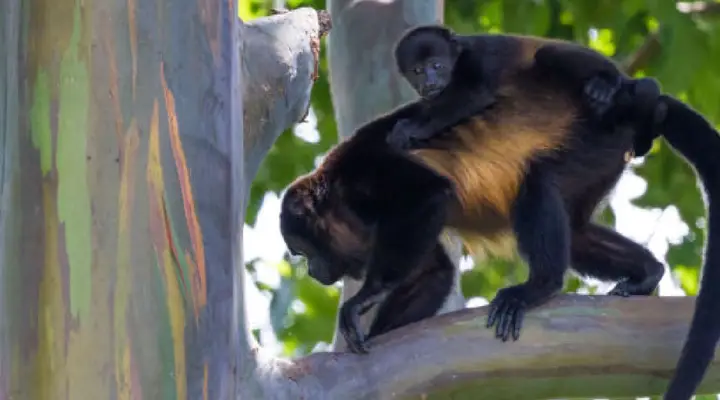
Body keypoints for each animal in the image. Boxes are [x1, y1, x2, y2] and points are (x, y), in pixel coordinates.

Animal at [279, 26, 670, 356]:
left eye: (303, 250)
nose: (312, 271)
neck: (338, 194)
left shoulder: (369, 170)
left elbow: (429, 193)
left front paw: (362, 300)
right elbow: (433, 273)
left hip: (592, 140)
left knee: (540, 181)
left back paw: (540, 285)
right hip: (604, 157)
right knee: (575, 230)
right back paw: (647, 271)